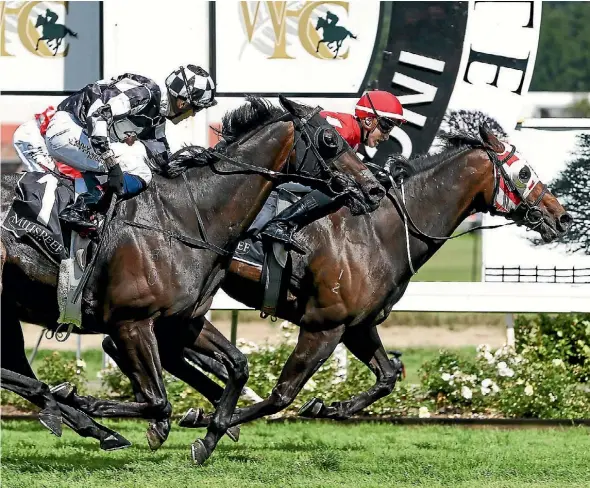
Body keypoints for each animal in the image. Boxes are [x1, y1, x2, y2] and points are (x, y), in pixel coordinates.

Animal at [1, 97, 388, 464]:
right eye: (330, 139)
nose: (373, 188)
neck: (183, 218)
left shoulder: (182, 321)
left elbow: (237, 366)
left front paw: (208, 437)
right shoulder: (132, 322)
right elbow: (159, 400)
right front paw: (87, 400)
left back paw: (80, 419)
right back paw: (69, 409)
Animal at [179, 125, 572, 430]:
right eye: (524, 173)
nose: (562, 217)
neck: (380, 232)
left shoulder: (357, 326)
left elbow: (387, 377)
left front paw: (331, 407)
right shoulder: (324, 325)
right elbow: (282, 395)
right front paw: (211, 420)